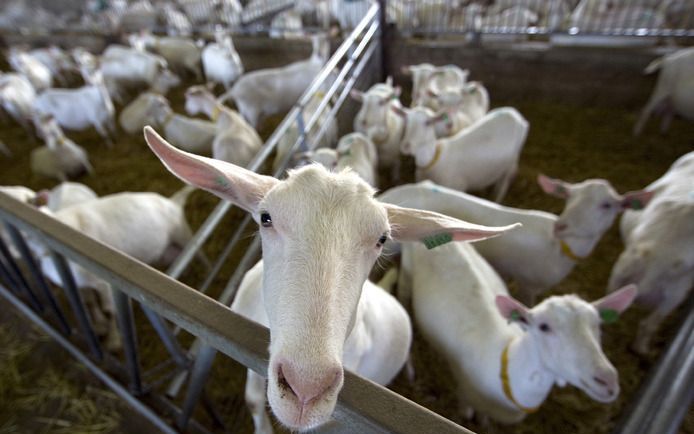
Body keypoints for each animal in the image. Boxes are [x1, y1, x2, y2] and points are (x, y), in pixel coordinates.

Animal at [396, 106, 528, 203]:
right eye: (406, 121)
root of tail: (514, 113)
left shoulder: (456, 188)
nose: (405, 146)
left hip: (512, 161)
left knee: (503, 183)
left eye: (428, 122)